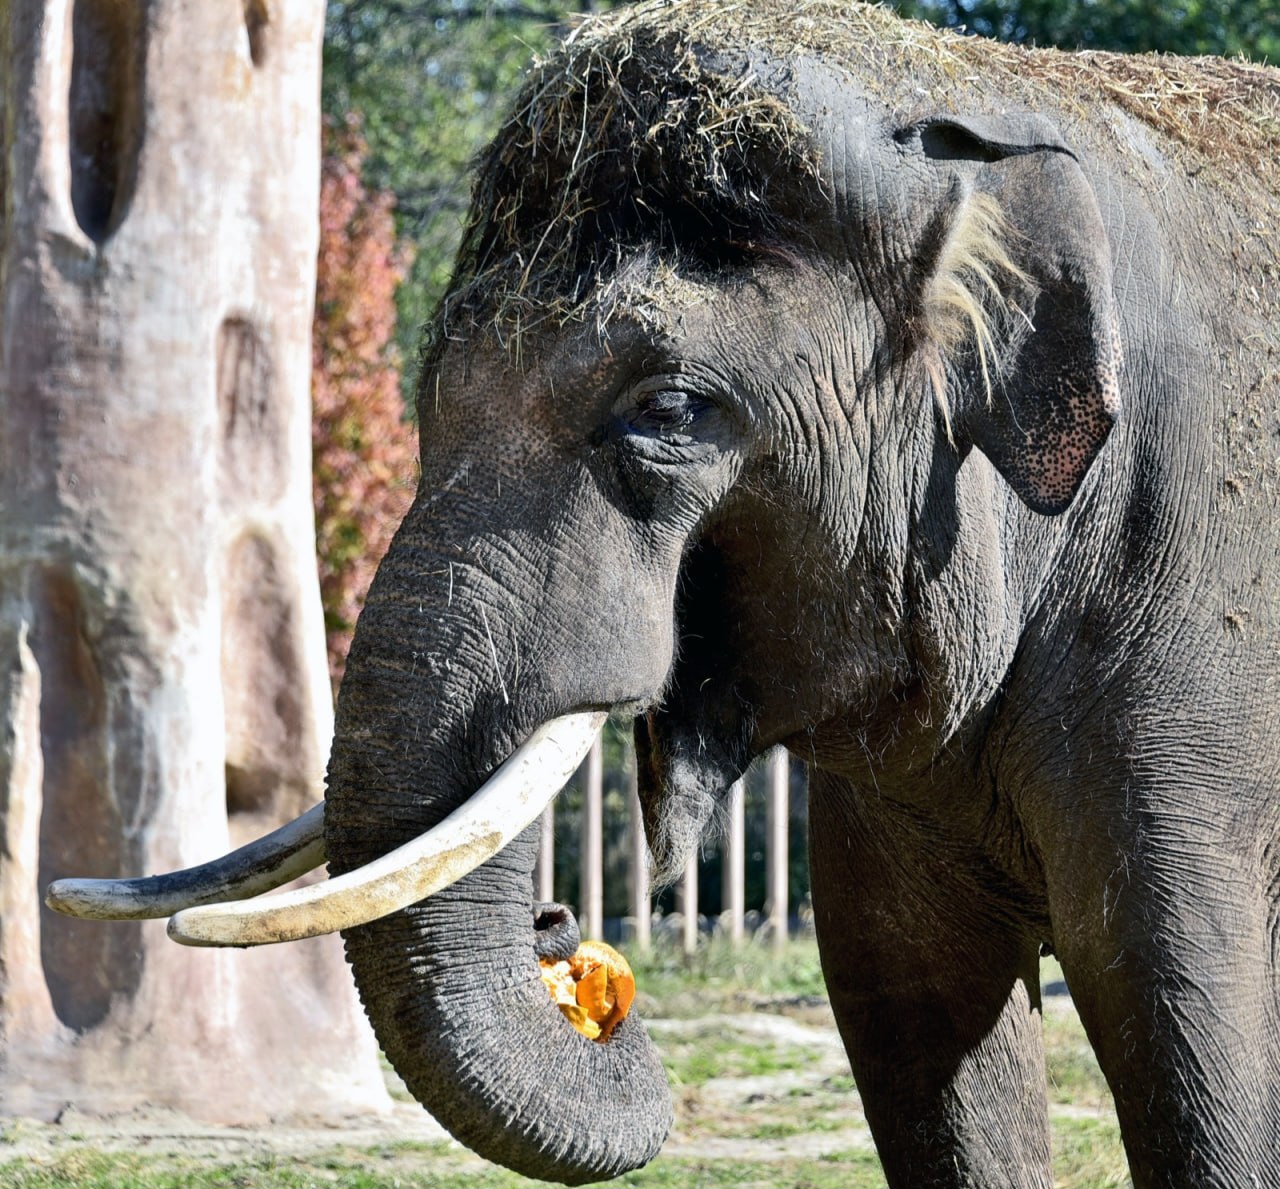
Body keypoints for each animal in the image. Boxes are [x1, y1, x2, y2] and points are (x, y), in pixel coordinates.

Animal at [46, 2, 1280, 1187]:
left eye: (669, 410)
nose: (556, 926)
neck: (968, 108)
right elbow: (912, 1011)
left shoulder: (1189, 657)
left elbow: (1190, 1036)